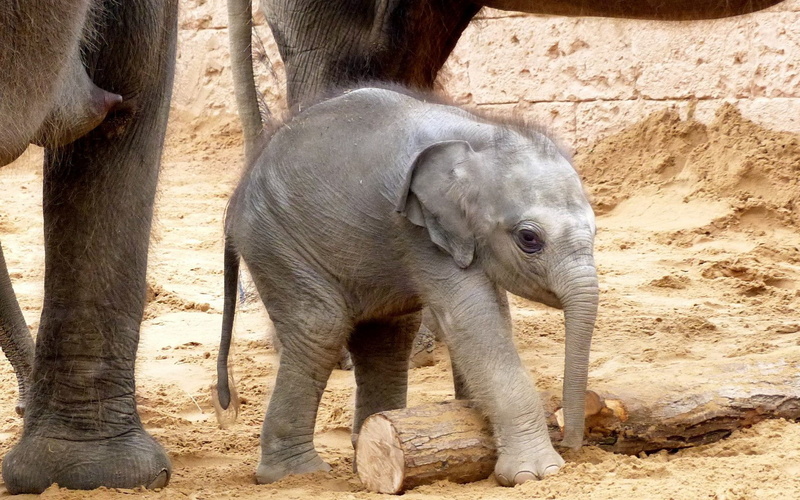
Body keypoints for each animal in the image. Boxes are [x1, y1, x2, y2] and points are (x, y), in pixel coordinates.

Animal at [216, 85, 599, 485]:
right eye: (529, 238)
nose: (573, 444)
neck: (482, 132)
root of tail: (236, 198)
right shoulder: (419, 232)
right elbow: (474, 320)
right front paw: (537, 474)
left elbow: (488, 317)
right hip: (277, 244)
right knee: (321, 326)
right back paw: (297, 475)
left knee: (387, 337)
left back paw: (367, 446)